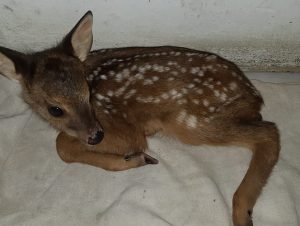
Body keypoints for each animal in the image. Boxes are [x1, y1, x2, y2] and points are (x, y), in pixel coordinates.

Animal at [0, 11, 280, 226]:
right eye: (55, 109)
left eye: (87, 92)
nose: (96, 136)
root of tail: (253, 95)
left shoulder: (123, 127)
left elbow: (61, 144)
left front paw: (135, 158)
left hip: (192, 120)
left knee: (269, 131)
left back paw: (242, 212)